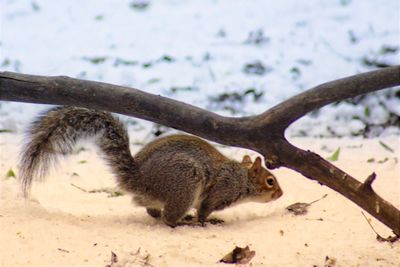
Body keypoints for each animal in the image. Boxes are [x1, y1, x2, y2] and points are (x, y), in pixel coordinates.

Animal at [18, 107, 282, 228]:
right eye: (270, 181)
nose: (281, 194)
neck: (242, 178)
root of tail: (140, 180)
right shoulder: (220, 191)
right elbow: (205, 210)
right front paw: (207, 222)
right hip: (186, 184)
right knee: (168, 218)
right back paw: (182, 222)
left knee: (151, 210)